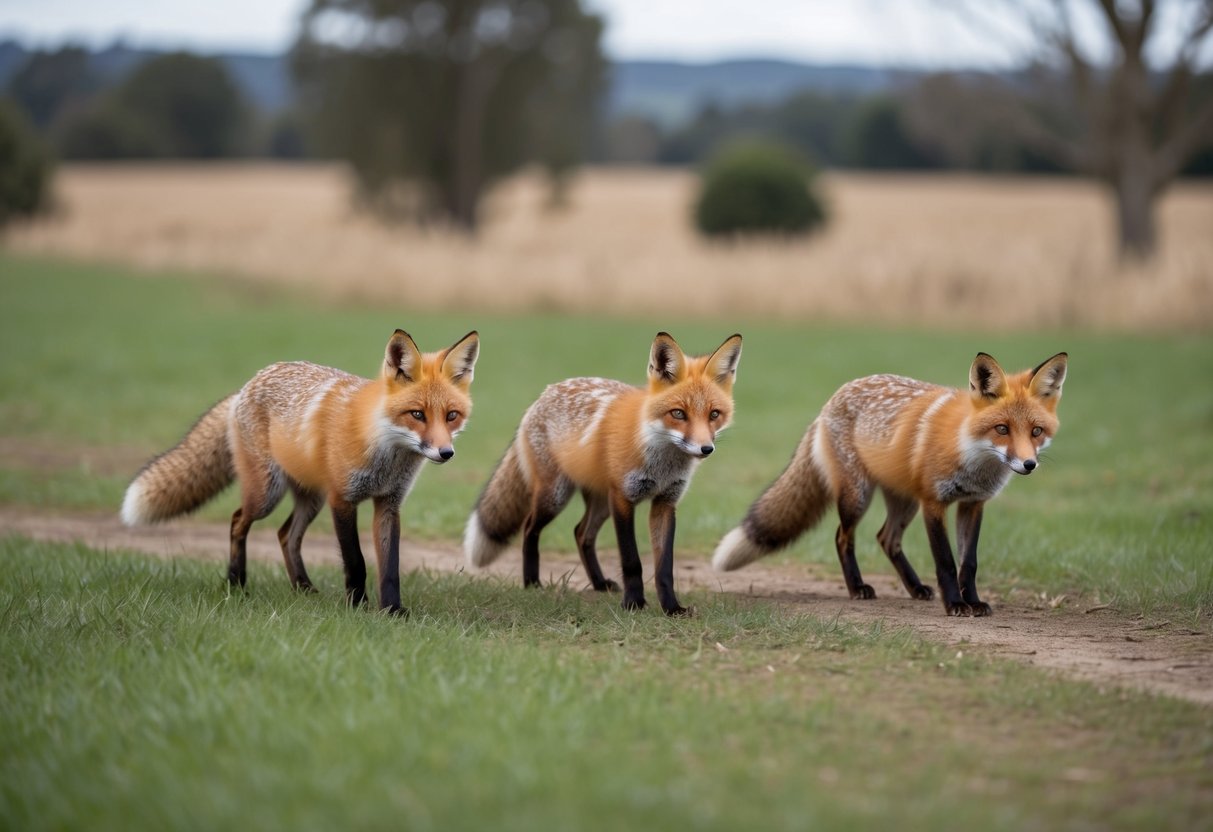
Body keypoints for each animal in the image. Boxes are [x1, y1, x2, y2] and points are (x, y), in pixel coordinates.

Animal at [120, 329, 480, 615]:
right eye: (417, 414)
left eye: (451, 416)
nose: (445, 453)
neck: (385, 453)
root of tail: (244, 388)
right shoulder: (342, 500)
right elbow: (356, 561)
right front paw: (358, 607)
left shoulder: (388, 504)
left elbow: (390, 567)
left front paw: (392, 610)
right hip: (267, 493)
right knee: (238, 521)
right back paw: (236, 584)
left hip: (310, 499)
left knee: (285, 535)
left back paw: (303, 588)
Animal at [463, 332, 743, 616]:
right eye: (678, 413)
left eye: (714, 414)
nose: (706, 448)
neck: (661, 462)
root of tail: (544, 394)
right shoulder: (623, 498)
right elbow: (631, 561)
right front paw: (634, 603)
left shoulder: (665, 502)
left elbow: (665, 568)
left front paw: (672, 608)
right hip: (556, 497)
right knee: (530, 527)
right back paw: (532, 582)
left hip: (600, 502)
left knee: (581, 533)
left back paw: (598, 583)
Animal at [712, 352, 1068, 617]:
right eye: (1002, 429)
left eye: (1036, 432)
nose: (1028, 464)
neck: (970, 453)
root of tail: (830, 401)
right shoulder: (933, 503)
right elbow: (946, 561)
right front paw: (955, 604)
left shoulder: (973, 503)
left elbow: (969, 563)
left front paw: (974, 602)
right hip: (858, 496)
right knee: (843, 537)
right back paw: (857, 588)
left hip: (904, 501)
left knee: (886, 539)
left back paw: (914, 588)